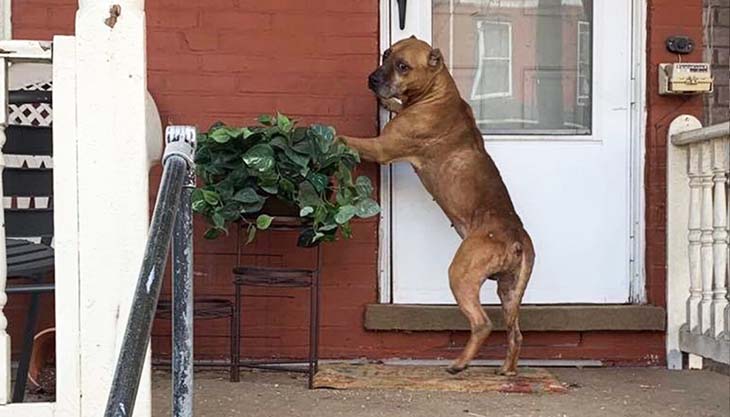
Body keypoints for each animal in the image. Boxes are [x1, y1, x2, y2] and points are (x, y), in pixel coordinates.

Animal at [338, 37, 532, 376]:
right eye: (386, 55)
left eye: (403, 66)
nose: (373, 79)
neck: (436, 92)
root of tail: (516, 237)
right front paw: (389, 104)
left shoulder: (380, 148)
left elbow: (347, 139)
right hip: (509, 292)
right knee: (515, 333)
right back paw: (506, 371)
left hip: (461, 274)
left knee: (482, 323)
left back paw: (459, 364)